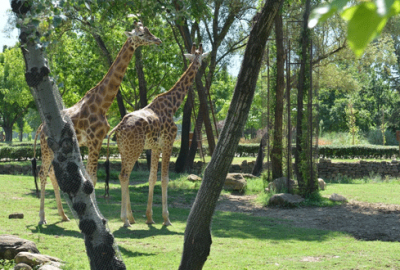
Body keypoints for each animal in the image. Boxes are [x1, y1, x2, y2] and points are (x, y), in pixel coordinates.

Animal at [32, 21, 162, 225]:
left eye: (149, 31)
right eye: (141, 34)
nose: (157, 40)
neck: (103, 104)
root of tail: (40, 127)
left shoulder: (97, 141)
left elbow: (91, 179)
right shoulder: (94, 140)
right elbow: (91, 179)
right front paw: (98, 218)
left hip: (53, 150)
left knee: (51, 173)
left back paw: (63, 215)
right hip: (46, 149)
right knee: (42, 173)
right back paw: (42, 218)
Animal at [104, 43, 208, 227]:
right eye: (201, 58)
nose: (201, 65)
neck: (173, 105)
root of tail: (119, 127)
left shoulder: (155, 147)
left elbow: (152, 178)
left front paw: (149, 218)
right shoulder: (168, 143)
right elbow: (165, 179)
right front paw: (166, 219)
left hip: (124, 150)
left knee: (125, 176)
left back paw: (131, 217)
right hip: (134, 149)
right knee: (124, 175)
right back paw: (125, 220)